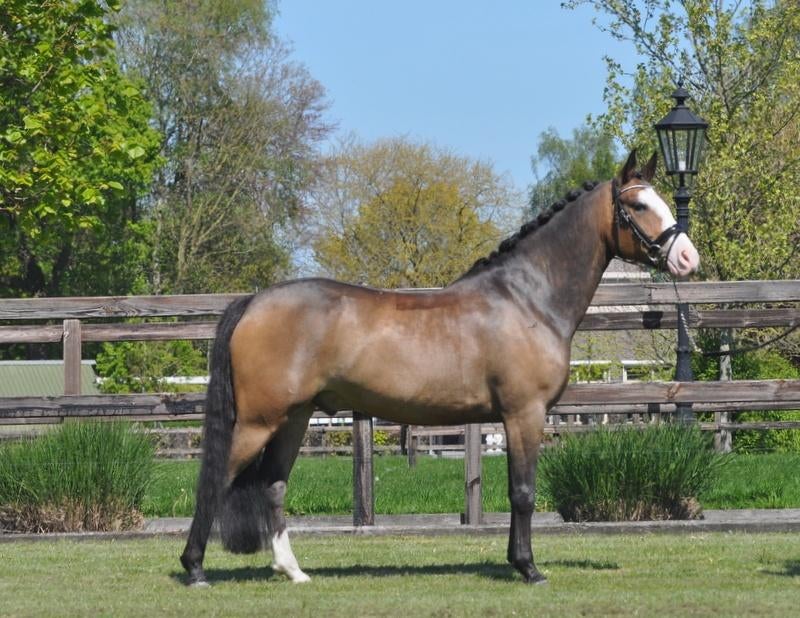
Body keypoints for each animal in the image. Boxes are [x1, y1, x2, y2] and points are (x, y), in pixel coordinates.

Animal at [180, 150, 700, 586]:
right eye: (639, 206)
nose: (687, 257)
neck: (527, 298)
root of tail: (254, 301)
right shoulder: (524, 413)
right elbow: (523, 492)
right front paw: (529, 569)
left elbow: (514, 491)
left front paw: (516, 561)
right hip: (258, 421)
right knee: (215, 481)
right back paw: (195, 568)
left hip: (293, 419)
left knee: (272, 485)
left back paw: (293, 571)